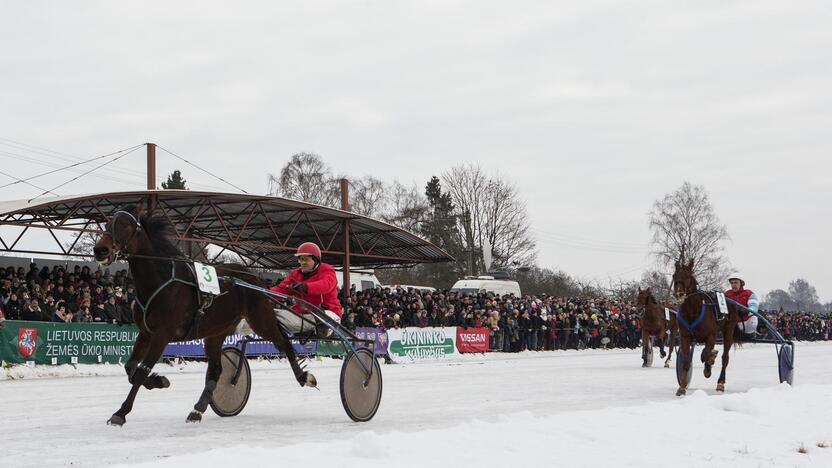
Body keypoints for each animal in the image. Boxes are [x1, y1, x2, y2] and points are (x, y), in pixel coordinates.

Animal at [92, 204, 316, 424]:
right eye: (108, 223)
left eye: (126, 225)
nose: (100, 250)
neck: (160, 282)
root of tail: (253, 277)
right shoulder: (146, 333)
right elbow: (130, 367)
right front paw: (158, 380)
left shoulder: (162, 335)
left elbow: (139, 373)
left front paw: (121, 412)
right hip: (216, 332)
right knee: (217, 369)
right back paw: (198, 409)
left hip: (261, 320)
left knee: (283, 342)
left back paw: (303, 377)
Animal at [672, 256, 736, 394]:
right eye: (674, 276)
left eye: (688, 276)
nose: (679, 294)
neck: (692, 312)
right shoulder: (685, 336)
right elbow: (686, 361)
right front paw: (682, 386)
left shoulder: (711, 335)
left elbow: (706, 354)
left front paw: (709, 364)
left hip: (729, 330)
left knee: (725, 358)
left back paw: (720, 382)